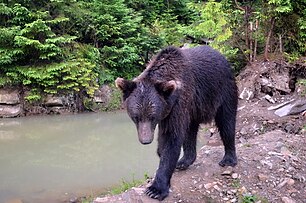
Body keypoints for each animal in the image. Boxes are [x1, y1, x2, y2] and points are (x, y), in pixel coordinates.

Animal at [116, 45, 238, 201]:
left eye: (152, 117)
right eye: (136, 117)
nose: (145, 140)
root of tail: (222, 56)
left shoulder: (179, 103)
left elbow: (171, 139)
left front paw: (155, 189)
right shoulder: (169, 110)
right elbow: (164, 143)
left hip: (223, 90)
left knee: (226, 122)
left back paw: (228, 159)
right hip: (194, 108)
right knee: (190, 131)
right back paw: (184, 161)